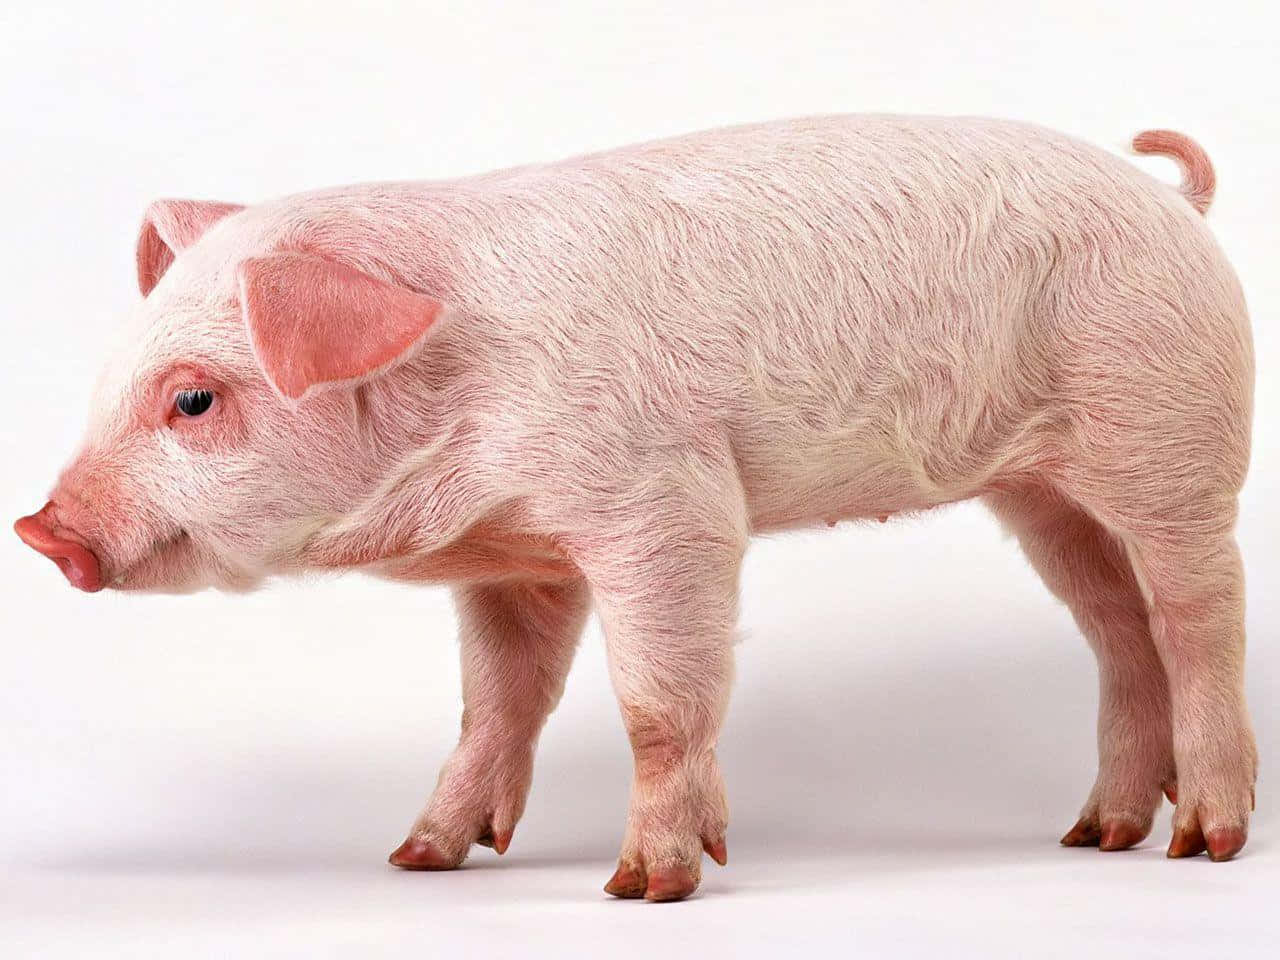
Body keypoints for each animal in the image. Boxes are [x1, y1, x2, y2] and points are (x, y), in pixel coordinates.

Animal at [17, 114, 1259, 901]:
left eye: (194, 398)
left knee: (1198, 611)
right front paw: (417, 861)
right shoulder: (512, 557)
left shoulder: (664, 503)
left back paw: (1201, 846)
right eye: (112, 378)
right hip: (1040, 494)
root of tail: (1172, 200)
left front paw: (644, 888)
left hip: (1169, 437)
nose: (40, 530)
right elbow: (495, 704)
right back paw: (1093, 838)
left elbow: (656, 700)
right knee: (1115, 628)